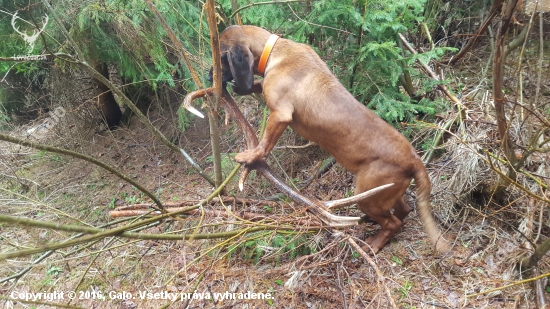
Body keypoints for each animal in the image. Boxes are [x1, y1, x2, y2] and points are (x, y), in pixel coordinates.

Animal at [213, 25, 450, 253]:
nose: (209, 76)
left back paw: (374, 243)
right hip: (385, 192)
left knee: (393, 223)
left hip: (367, 196)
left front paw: (251, 156)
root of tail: (415, 160)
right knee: (403, 211)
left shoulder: (280, 115)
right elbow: (259, 85)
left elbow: (264, 144)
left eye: (221, 58)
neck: (276, 51)